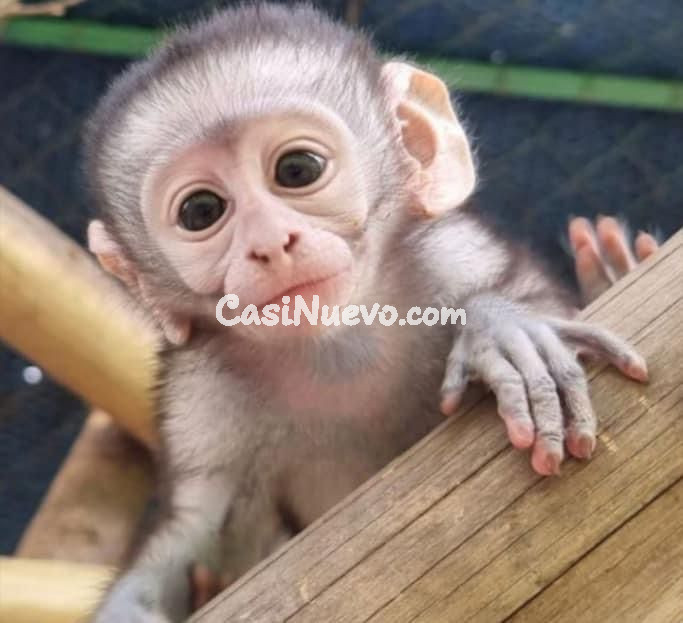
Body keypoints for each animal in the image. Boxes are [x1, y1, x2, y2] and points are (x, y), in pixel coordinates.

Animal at [83, 4, 649, 622]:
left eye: (298, 170)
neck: (339, 348)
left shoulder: (451, 253)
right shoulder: (201, 398)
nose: (270, 244)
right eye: (201, 211)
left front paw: (503, 329)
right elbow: (193, 528)